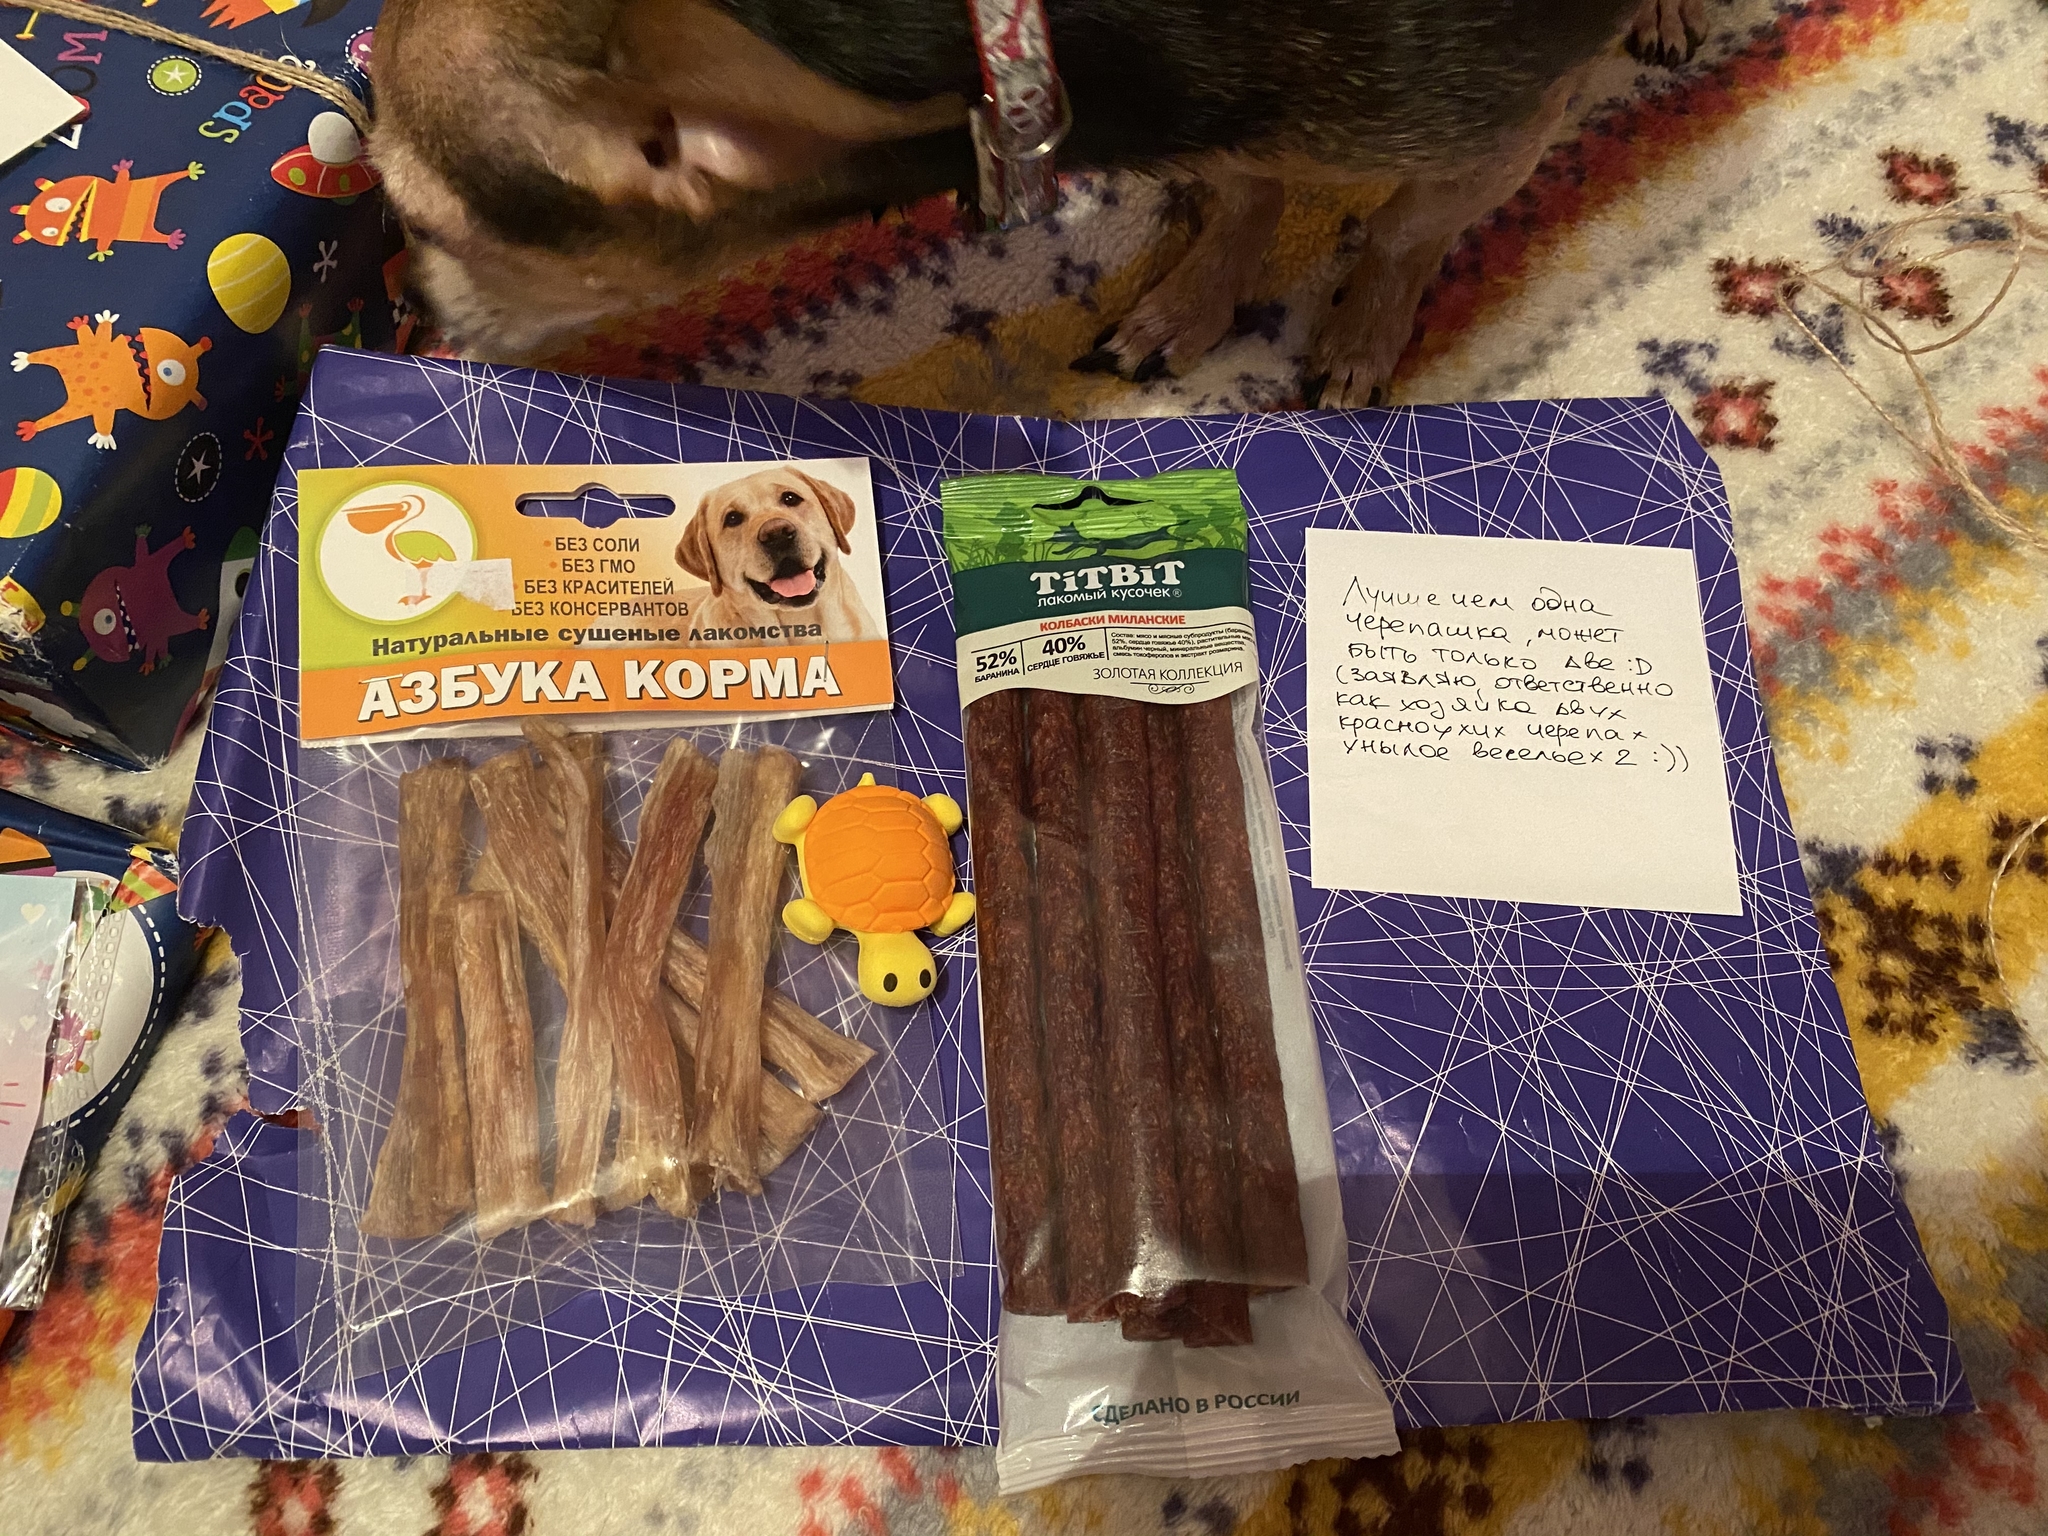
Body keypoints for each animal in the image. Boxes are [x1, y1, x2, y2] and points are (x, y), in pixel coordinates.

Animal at [371, 0, 1702, 407]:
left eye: (422, 224)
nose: (409, 315)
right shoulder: (1200, 127)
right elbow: (1245, 192)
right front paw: (1195, 299)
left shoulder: (1509, 121)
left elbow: (1410, 230)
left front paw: (1366, 324)